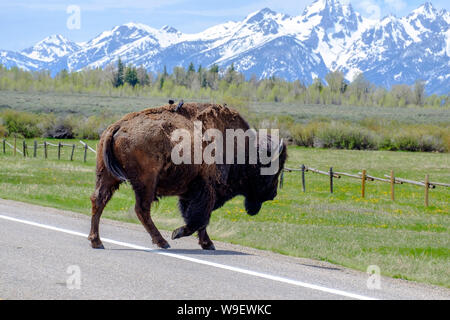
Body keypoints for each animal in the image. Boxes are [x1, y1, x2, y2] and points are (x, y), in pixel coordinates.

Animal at [88, 102, 286, 250]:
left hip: (107, 176)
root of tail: (118, 126)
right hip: (146, 182)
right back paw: (162, 242)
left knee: (99, 200)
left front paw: (207, 244)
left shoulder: (192, 192)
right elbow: (199, 219)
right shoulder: (207, 190)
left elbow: (199, 219)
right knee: (141, 209)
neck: (243, 149)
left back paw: (96, 241)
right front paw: (179, 234)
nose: (273, 194)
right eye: (271, 170)